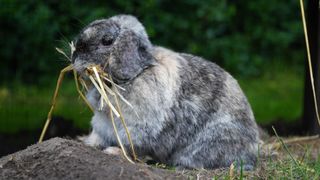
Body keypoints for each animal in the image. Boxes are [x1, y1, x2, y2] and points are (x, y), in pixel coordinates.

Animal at [72, 14, 260, 170]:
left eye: (107, 40)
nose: (75, 55)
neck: (136, 75)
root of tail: (251, 152)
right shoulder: (103, 124)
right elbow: (98, 136)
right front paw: (87, 143)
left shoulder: (138, 130)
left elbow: (132, 148)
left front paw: (112, 152)